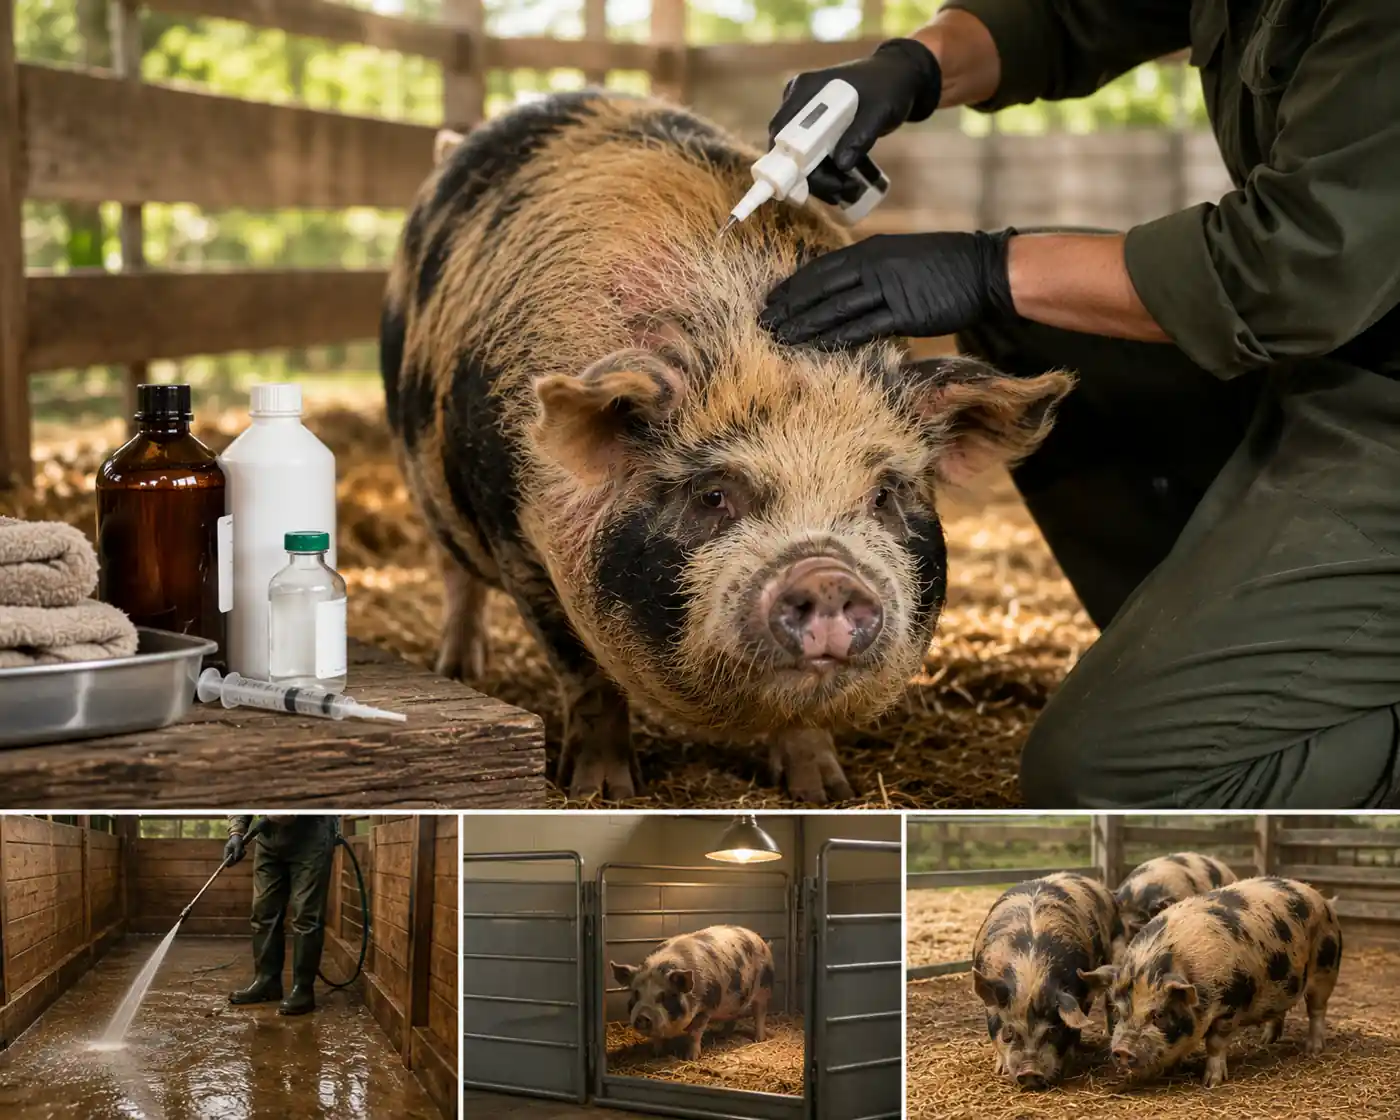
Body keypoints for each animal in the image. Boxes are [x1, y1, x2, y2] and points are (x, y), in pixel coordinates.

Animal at [380, 90, 1071, 804]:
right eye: (714, 495)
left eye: (884, 494)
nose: (827, 575)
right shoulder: (517, 541)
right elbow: (586, 676)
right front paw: (603, 792)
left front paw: (825, 793)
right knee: (456, 573)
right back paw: (462, 669)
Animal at [610, 924, 774, 1058]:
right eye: (636, 994)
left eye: (664, 996)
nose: (642, 1016)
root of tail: (761, 940)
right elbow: (657, 1037)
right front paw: (655, 1054)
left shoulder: (706, 1007)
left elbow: (694, 1033)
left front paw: (691, 1058)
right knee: (732, 1017)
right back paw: (722, 1035)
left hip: (764, 988)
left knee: (760, 1013)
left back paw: (759, 1039)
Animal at [971, 871, 1125, 1090]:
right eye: (1008, 1032)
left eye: (1052, 1032)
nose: (1029, 1072)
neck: (1031, 972)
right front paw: (1000, 1070)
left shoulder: (1081, 993)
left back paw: (1107, 1034)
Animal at [1079, 876, 1343, 1088]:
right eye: (1118, 1012)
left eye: (1159, 1014)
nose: (1122, 1050)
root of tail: (1323, 899)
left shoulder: (1231, 1005)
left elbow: (1215, 1042)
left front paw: (1211, 1083)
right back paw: (1266, 1041)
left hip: (1326, 968)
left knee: (1317, 1009)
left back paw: (1313, 1049)